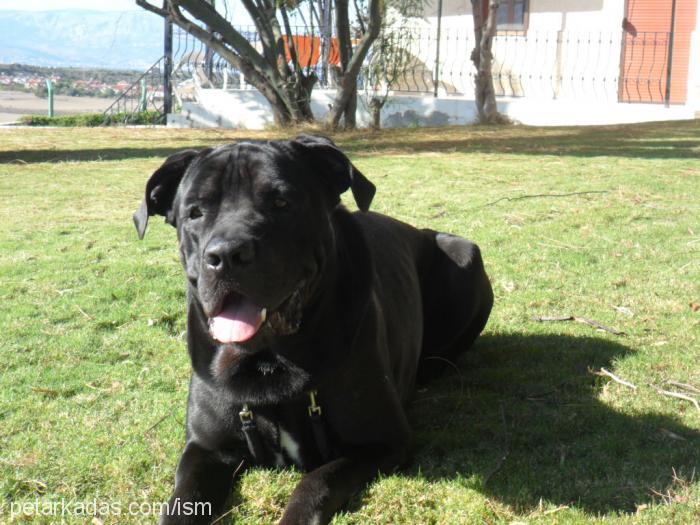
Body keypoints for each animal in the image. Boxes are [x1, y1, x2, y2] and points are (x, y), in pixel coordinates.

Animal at [133, 136, 492, 524]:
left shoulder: (380, 441)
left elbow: (314, 483)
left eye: (281, 202)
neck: (268, 361)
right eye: (195, 212)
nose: (227, 254)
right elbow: (183, 502)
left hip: (465, 255)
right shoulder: (205, 448)